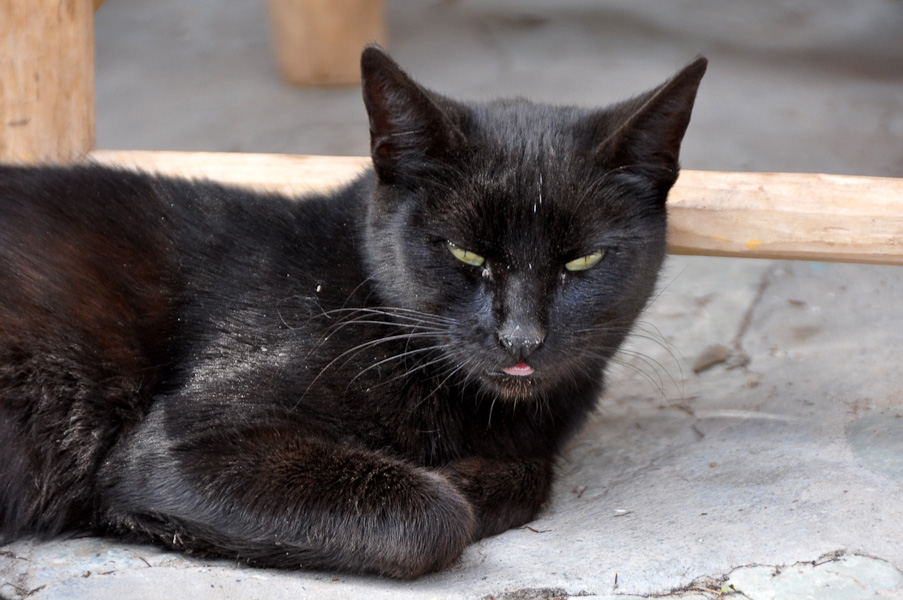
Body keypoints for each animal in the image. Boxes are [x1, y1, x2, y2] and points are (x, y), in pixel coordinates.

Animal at [0, 46, 706, 579]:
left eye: (583, 261)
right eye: (465, 251)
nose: (521, 337)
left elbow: (527, 475)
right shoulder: (179, 444)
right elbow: (440, 515)